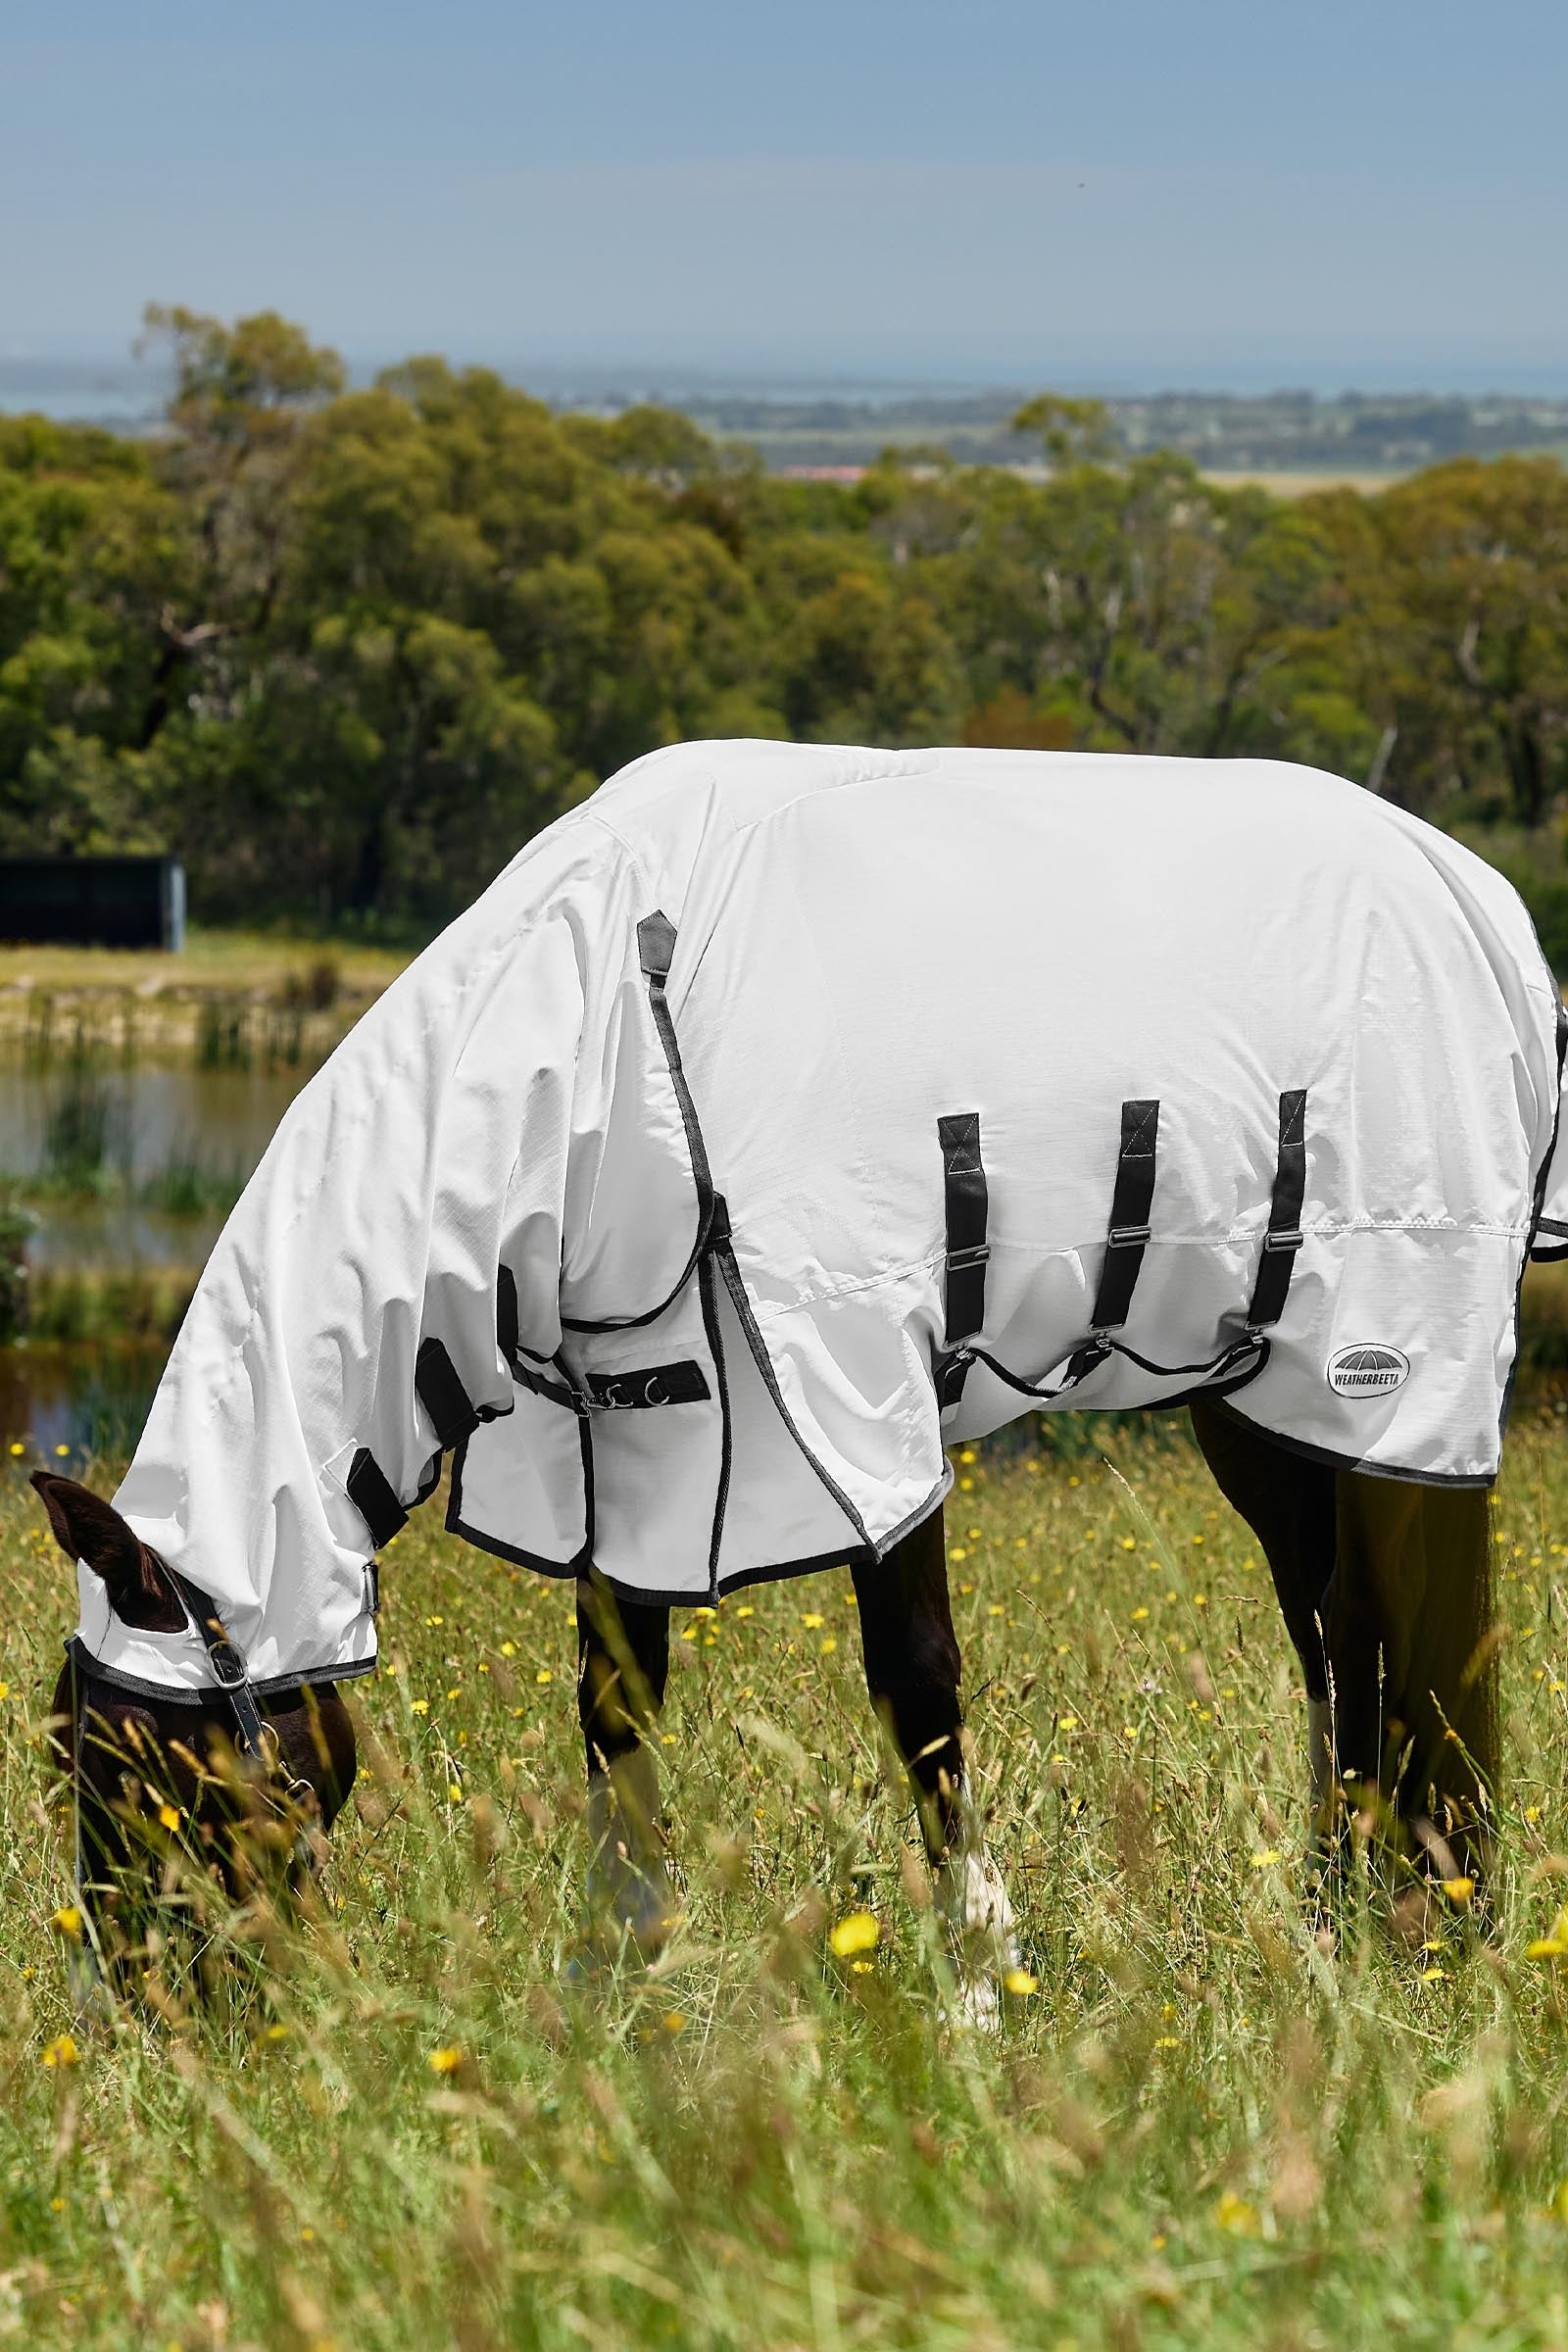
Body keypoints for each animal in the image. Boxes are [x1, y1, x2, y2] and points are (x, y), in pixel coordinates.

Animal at [31, 740, 1566, 2012]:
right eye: (71, 1757)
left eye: (157, 1773)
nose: (149, 2026)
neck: (622, 1023)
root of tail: (1472, 888)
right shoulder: (633, 1431)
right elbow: (615, 1705)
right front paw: (620, 1991)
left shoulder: (855, 1394)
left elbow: (919, 1692)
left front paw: (978, 1985)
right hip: (1253, 1399)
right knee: (1333, 1633)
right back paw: (1338, 1919)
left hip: (1384, 1355)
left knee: (1405, 1622)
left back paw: (1432, 1927)